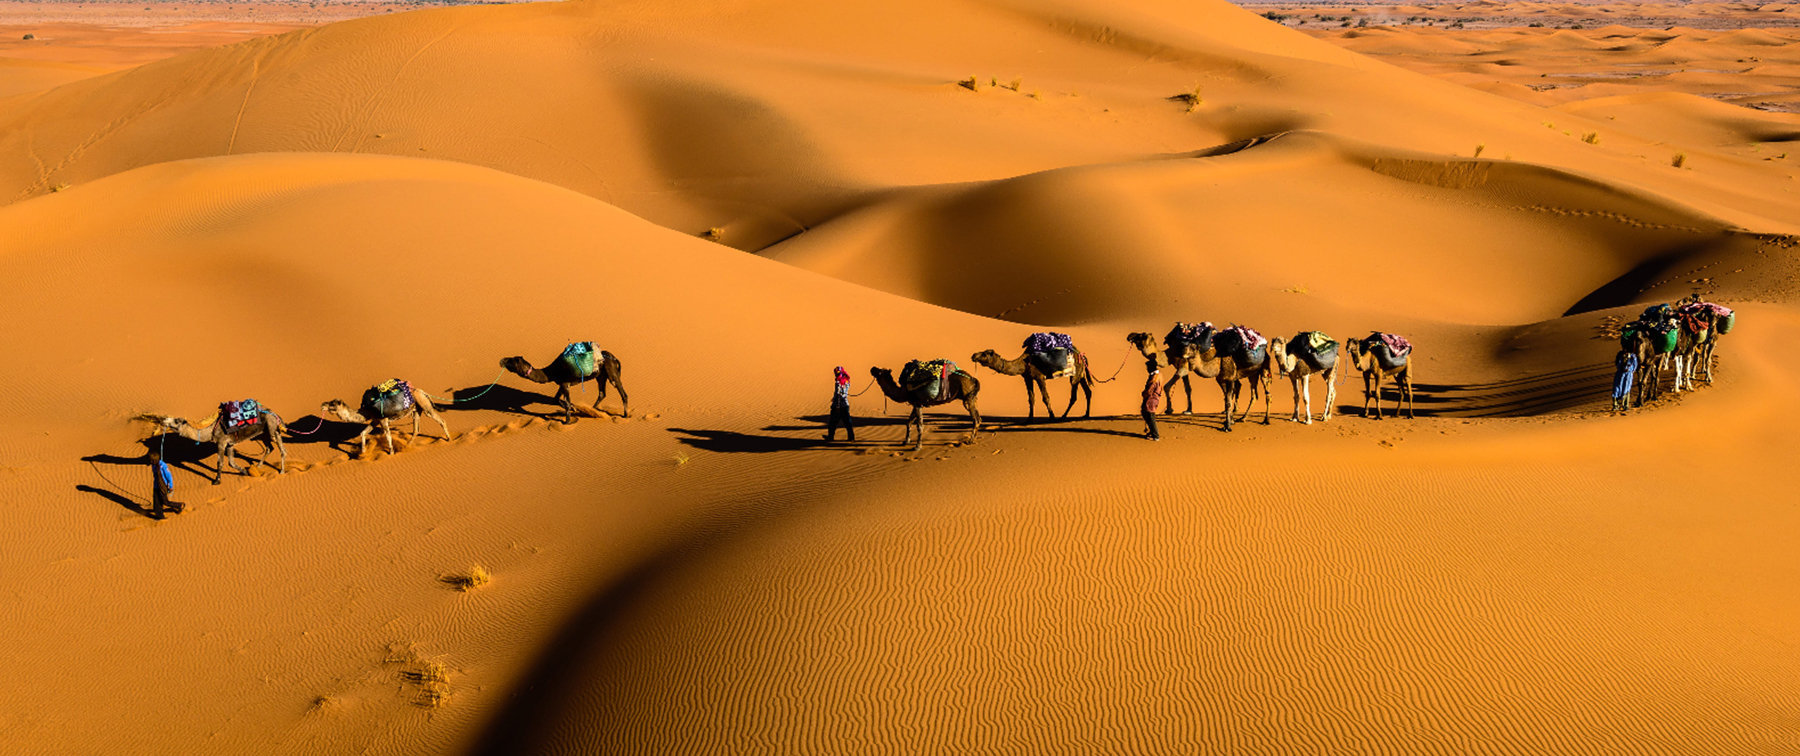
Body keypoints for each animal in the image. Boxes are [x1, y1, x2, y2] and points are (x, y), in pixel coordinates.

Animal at [140, 401, 288, 486]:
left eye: (176, 421)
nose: (164, 420)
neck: (211, 429)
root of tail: (275, 414)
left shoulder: (222, 442)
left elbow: (220, 463)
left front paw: (217, 480)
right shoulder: (230, 444)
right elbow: (231, 463)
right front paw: (246, 471)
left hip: (272, 428)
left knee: (281, 449)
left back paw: (281, 470)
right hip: (264, 433)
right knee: (269, 447)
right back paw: (259, 465)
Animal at [320, 378, 453, 455]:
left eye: (332, 404)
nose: (322, 405)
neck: (367, 410)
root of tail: (422, 392)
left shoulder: (382, 419)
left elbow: (388, 435)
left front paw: (391, 452)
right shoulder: (375, 420)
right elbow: (363, 433)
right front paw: (363, 452)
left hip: (425, 405)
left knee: (441, 420)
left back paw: (449, 439)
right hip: (416, 410)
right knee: (416, 429)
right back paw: (407, 446)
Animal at [496, 342, 630, 424]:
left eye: (511, 361)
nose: (501, 360)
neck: (551, 371)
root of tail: (615, 358)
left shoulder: (565, 384)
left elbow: (567, 403)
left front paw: (567, 421)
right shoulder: (561, 384)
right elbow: (556, 400)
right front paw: (575, 408)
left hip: (612, 373)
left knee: (623, 393)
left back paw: (625, 415)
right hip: (601, 375)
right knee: (602, 393)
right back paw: (593, 410)